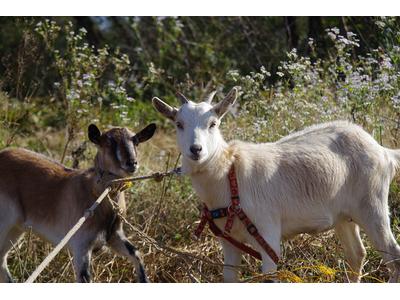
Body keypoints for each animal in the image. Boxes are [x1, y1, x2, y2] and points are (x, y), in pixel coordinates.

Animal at [0, 123, 156, 282]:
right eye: (109, 142)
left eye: (136, 141)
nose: (132, 163)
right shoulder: (81, 246)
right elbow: (84, 277)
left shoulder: (114, 235)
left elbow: (136, 254)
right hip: (5, 221)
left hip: (16, 228)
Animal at [154, 87, 400, 284]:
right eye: (179, 124)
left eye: (213, 124)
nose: (196, 150)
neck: (230, 177)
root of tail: (382, 151)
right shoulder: (229, 240)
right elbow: (229, 279)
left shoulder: (267, 232)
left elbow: (270, 276)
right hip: (344, 216)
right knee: (357, 254)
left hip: (372, 205)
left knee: (393, 254)